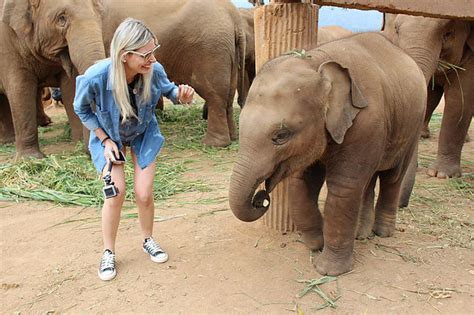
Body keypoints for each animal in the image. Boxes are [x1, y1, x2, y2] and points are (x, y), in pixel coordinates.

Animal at [0, 0, 105, 158]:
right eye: (61, 18)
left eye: (98, 13)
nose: (89, 150)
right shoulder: (6, 41)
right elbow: (20, 88)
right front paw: (30, 158)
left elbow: (69, 87)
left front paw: (77, 142)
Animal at [102, 0, 246, 148]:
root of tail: (235, 19)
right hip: (229, 51)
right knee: (229, 95)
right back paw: (232, 138)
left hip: (212, 49)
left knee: (214, 95)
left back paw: (212, 144)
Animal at [228, 32, 428, 276]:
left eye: (281, 135)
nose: (261, 199)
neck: (317, 61)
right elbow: (302, 182)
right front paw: (316, 244)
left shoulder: (366, 122)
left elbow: (344, 188)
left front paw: (328, 270)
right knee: (368, 181)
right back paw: (360, 235)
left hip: (412, 126)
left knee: (392, 176)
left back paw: (382, 233)